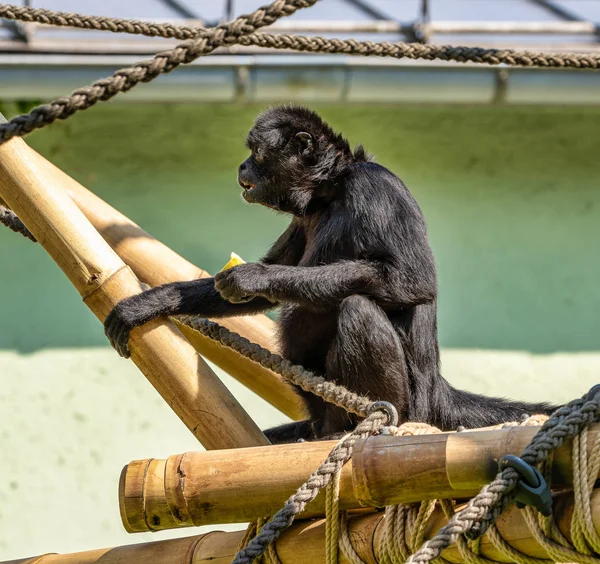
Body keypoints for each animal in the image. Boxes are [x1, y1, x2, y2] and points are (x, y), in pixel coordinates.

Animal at [104, 104, 556, 440]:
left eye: (256, 154)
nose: (241, 167)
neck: (331, 190)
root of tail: (436, 392)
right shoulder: (303, 216)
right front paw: (149, 303)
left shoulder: (375, 188)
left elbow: (413, 281)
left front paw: (251, 277)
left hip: (411, 402)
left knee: (358, 309)